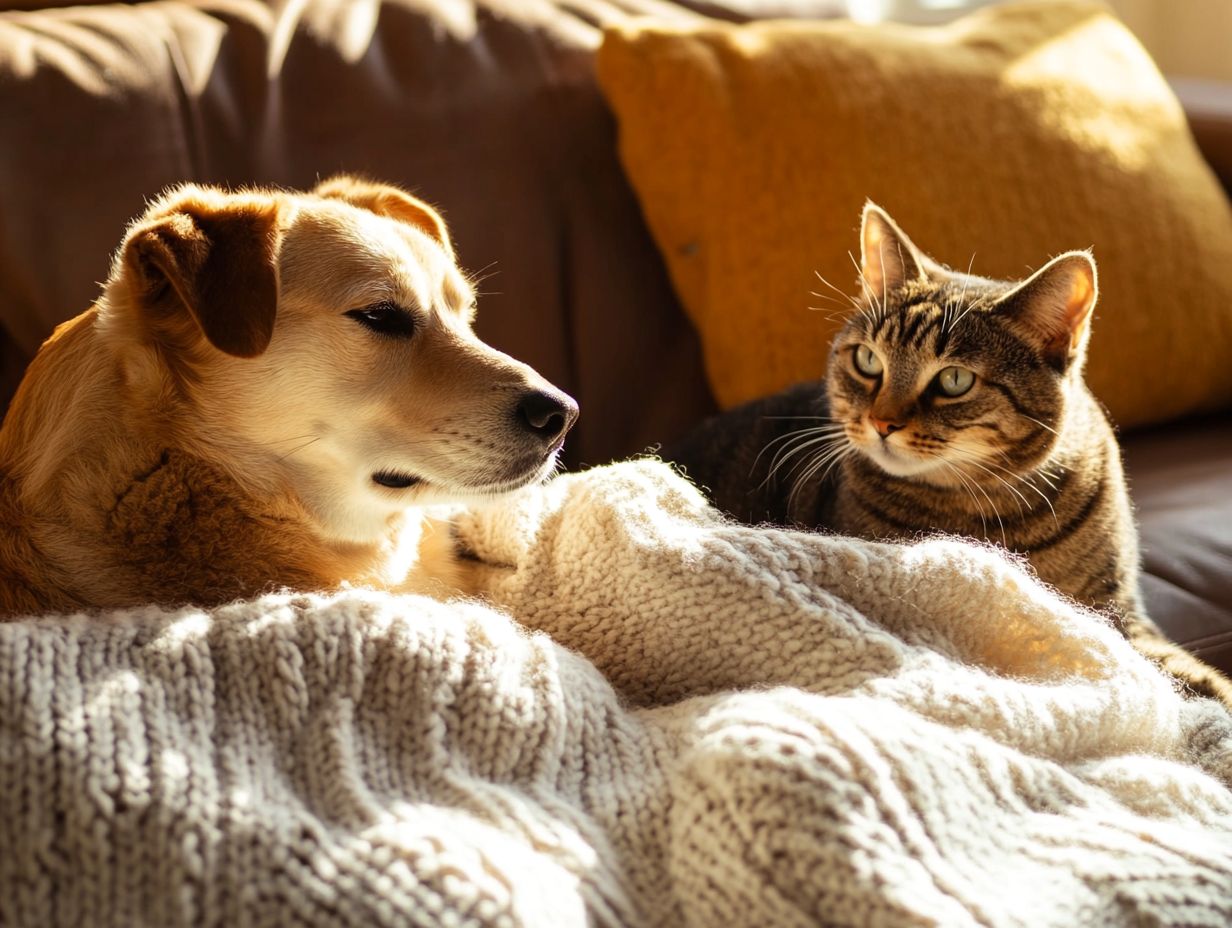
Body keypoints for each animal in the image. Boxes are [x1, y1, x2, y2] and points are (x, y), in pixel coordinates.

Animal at [665, 202, 1232, 704]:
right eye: (868, 360)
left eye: (954, 380)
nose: (881, 422)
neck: (986, 509)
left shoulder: (1117, 614)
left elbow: (1192, 677)